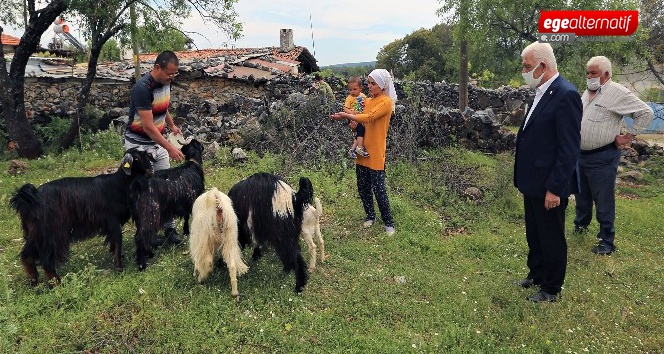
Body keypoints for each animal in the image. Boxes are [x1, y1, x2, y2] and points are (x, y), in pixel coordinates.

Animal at [9, 149, 155, 284]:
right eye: (136, 158)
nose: (151, 170)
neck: (119, 183)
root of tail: (29, 200)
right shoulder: (112, 221)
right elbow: (118, 242)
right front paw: (119, 267)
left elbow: (114, 244)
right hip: (52, 232)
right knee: (46, 261)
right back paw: (56, 283)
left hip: (36, 232)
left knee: (27, 255)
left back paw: (34, 280)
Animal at [129, 140, 202, 270]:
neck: (193, 163)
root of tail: (137, 184)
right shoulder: (193, 200)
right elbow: (189, 217)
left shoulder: (186, 202)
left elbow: (186, 217)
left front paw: (186, 231)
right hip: (150, 212)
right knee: (140, 237)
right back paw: (142, 264)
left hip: (140, 216)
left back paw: (149, 253)